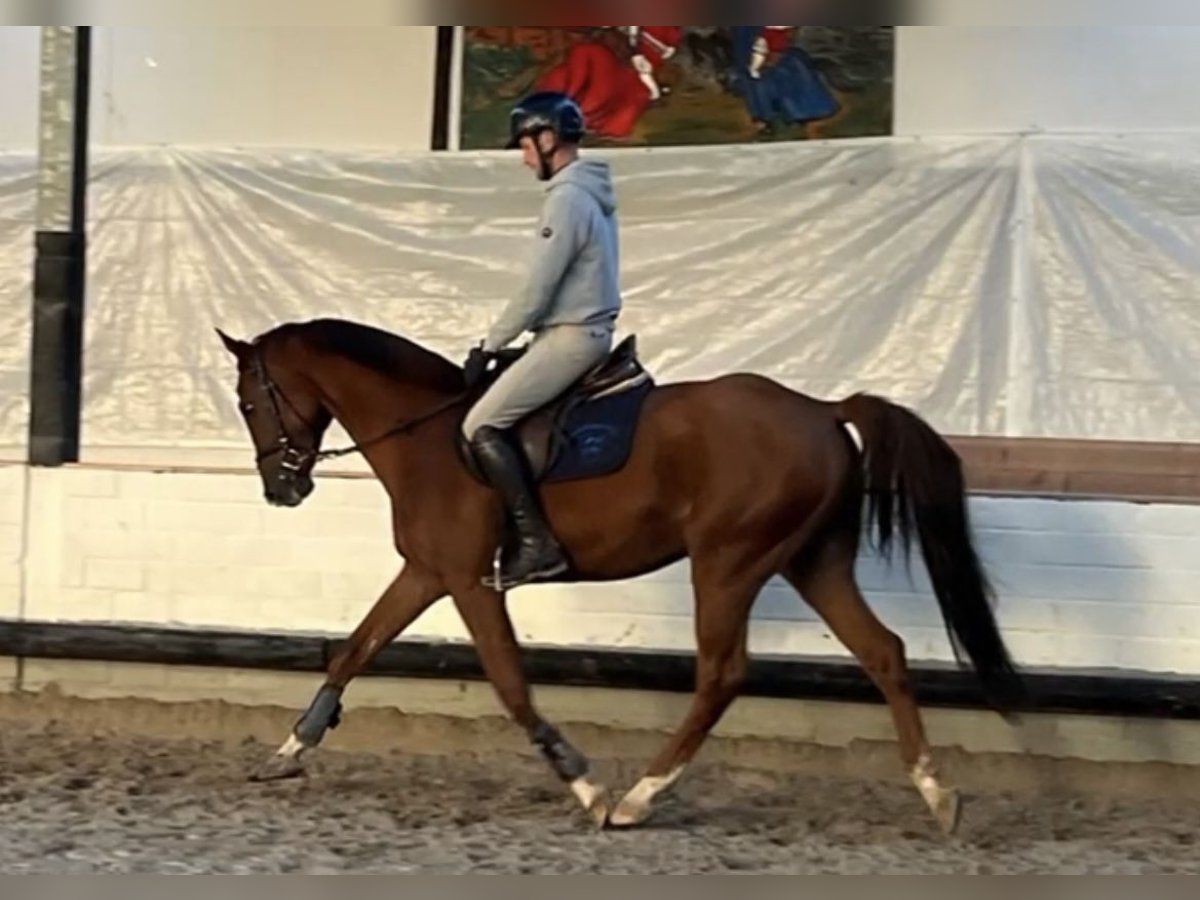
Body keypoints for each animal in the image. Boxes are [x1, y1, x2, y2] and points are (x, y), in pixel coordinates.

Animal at [213, 319, 1022, 840]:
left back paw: (638, 798)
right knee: (883, 651)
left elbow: (511, 684)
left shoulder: (470, 583)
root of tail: (822, 411)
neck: (429, 437)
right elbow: (356, 648)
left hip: (728, 563)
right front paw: (288, 752)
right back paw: (937, 794)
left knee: (722, 674)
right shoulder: (427, 572)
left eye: (251, 402)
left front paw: (584, 783)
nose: (281, 490)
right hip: (812, 561)